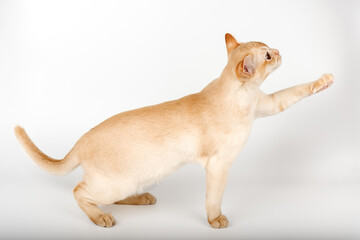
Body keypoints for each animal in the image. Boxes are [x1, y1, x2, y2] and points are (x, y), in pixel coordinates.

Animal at [14, 33, 334, 229]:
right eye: (267, 56)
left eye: (270, 48)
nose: (279, 51)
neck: (243, 97)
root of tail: (81, 139)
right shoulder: (219, 165)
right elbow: (213, 199)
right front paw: (216, 221)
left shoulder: (267, 105)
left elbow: (295, 91)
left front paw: (326, 80)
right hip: (114, 182)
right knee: (80, 192)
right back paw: (102, 218)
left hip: (128, 180)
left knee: (102, 194)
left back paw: (142, 199)